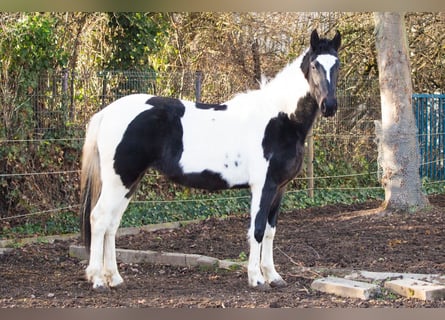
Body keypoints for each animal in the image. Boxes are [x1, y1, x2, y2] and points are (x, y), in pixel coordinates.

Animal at [80, 29, 340, 290]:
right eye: (315, 65)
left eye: (337, 64)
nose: (329, 106)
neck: (280, 117)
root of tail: (107, 112)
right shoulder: (263, 186)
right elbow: (256, 230)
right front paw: (256, 278)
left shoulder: (279, 187)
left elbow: (269, 231)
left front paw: (273, 276)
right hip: (119, 180)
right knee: (99, 219)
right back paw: (98, 279)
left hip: (129, 182)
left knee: (112, 224)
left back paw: (114, 278)